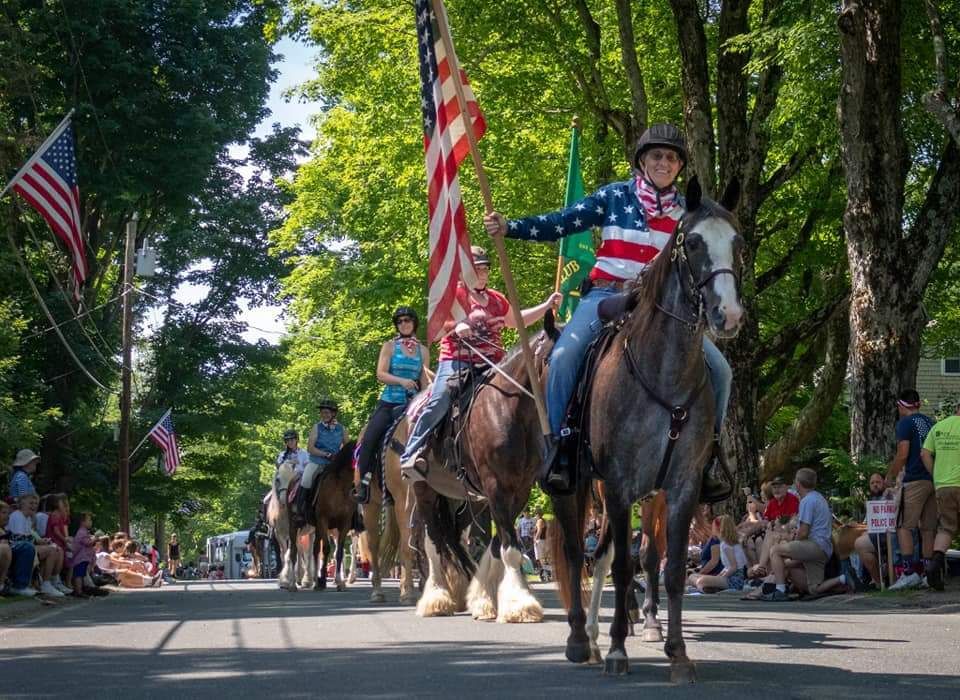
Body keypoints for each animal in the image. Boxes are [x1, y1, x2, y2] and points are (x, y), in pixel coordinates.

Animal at [404, 324, 556, 624]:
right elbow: (510, 548)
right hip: (424, 490)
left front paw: (484, 598)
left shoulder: (519, 490)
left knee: (452, 537)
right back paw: (436, 599)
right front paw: (520, 605)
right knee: (433, 542)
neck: (507, 408)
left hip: (463, 500)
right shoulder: (496, 486)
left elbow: (499, 544)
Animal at [552, 176, 748, 684]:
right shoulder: (620, 486)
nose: (728, 315)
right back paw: (583, 640)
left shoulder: (680, 488)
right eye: (693, 242)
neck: (664, 372)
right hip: (577, 487)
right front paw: (619, 649)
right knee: (579, 553)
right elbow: (623, 567)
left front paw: (677, 652)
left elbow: (671, 567)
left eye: (737, 242)